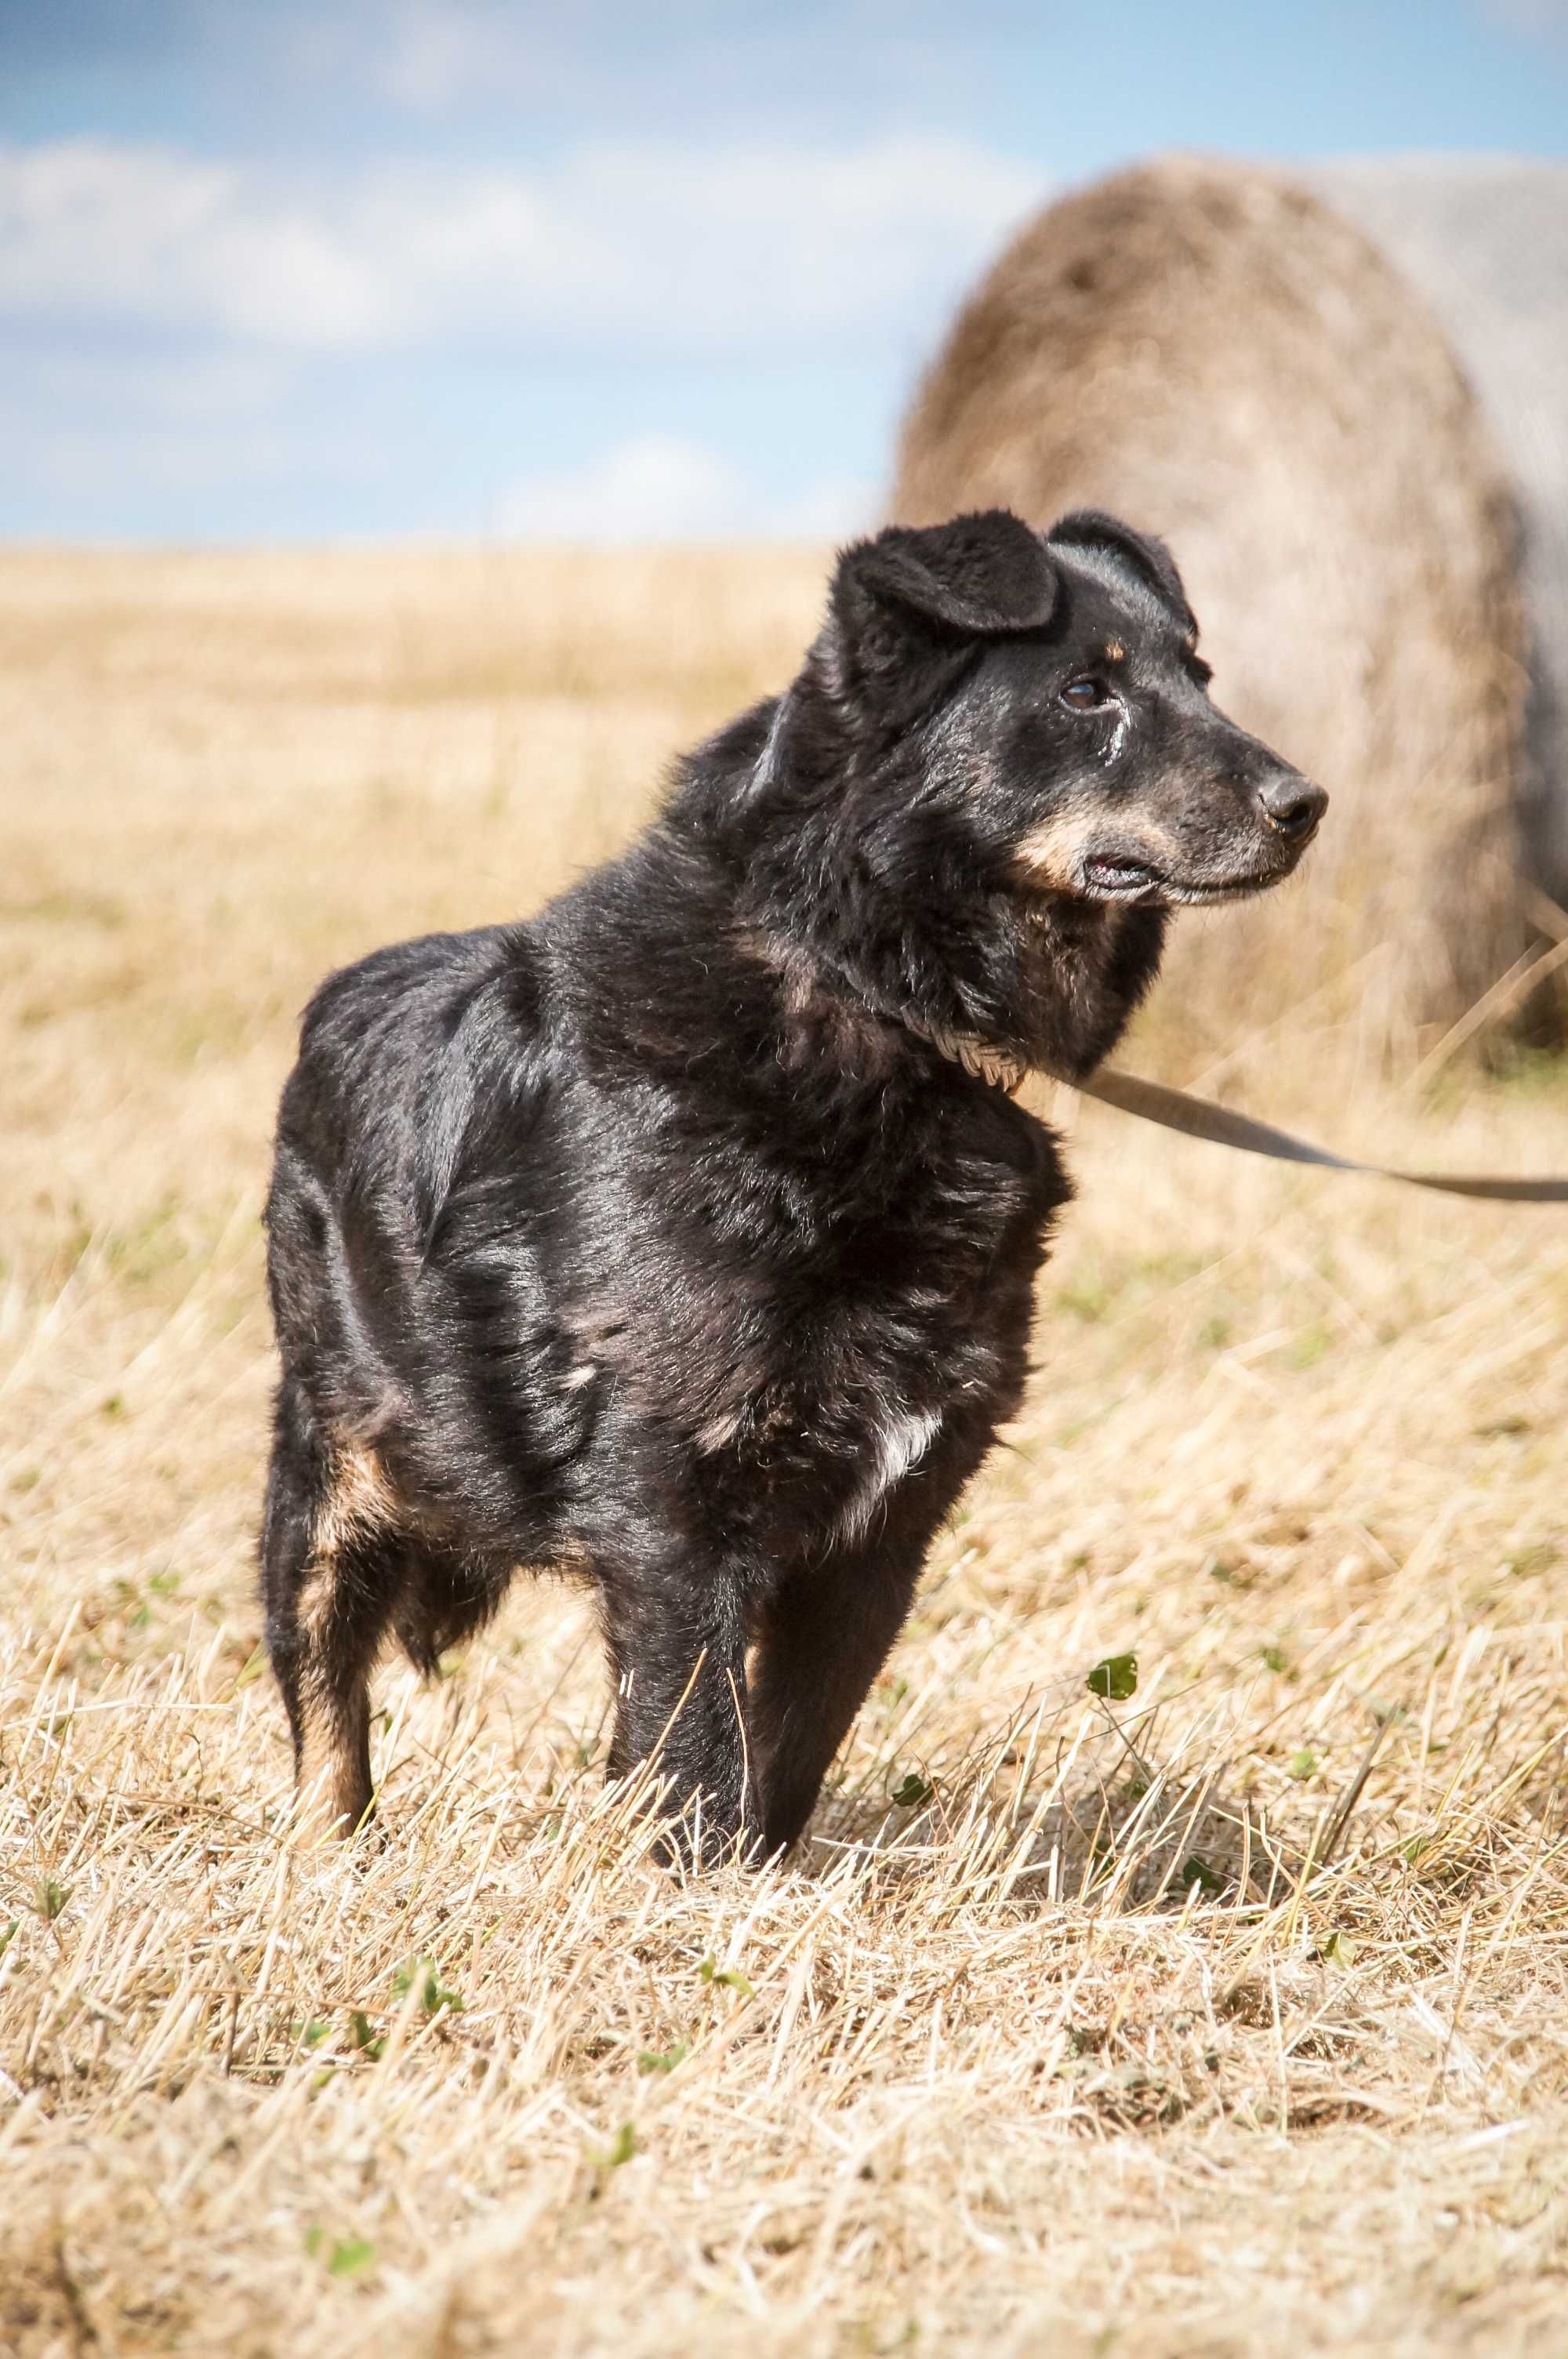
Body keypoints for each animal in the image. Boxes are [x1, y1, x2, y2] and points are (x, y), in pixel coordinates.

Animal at [259, 506, 1320, 1849]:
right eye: (1088, 691)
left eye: (1200, 675)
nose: (1309, 804)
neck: (866, 989)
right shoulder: (676, 1502)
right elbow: (696, 1751)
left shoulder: (890, 1522)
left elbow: (791, 1744)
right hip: (333, 1470)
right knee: (323, 1693)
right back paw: (330, 1849)